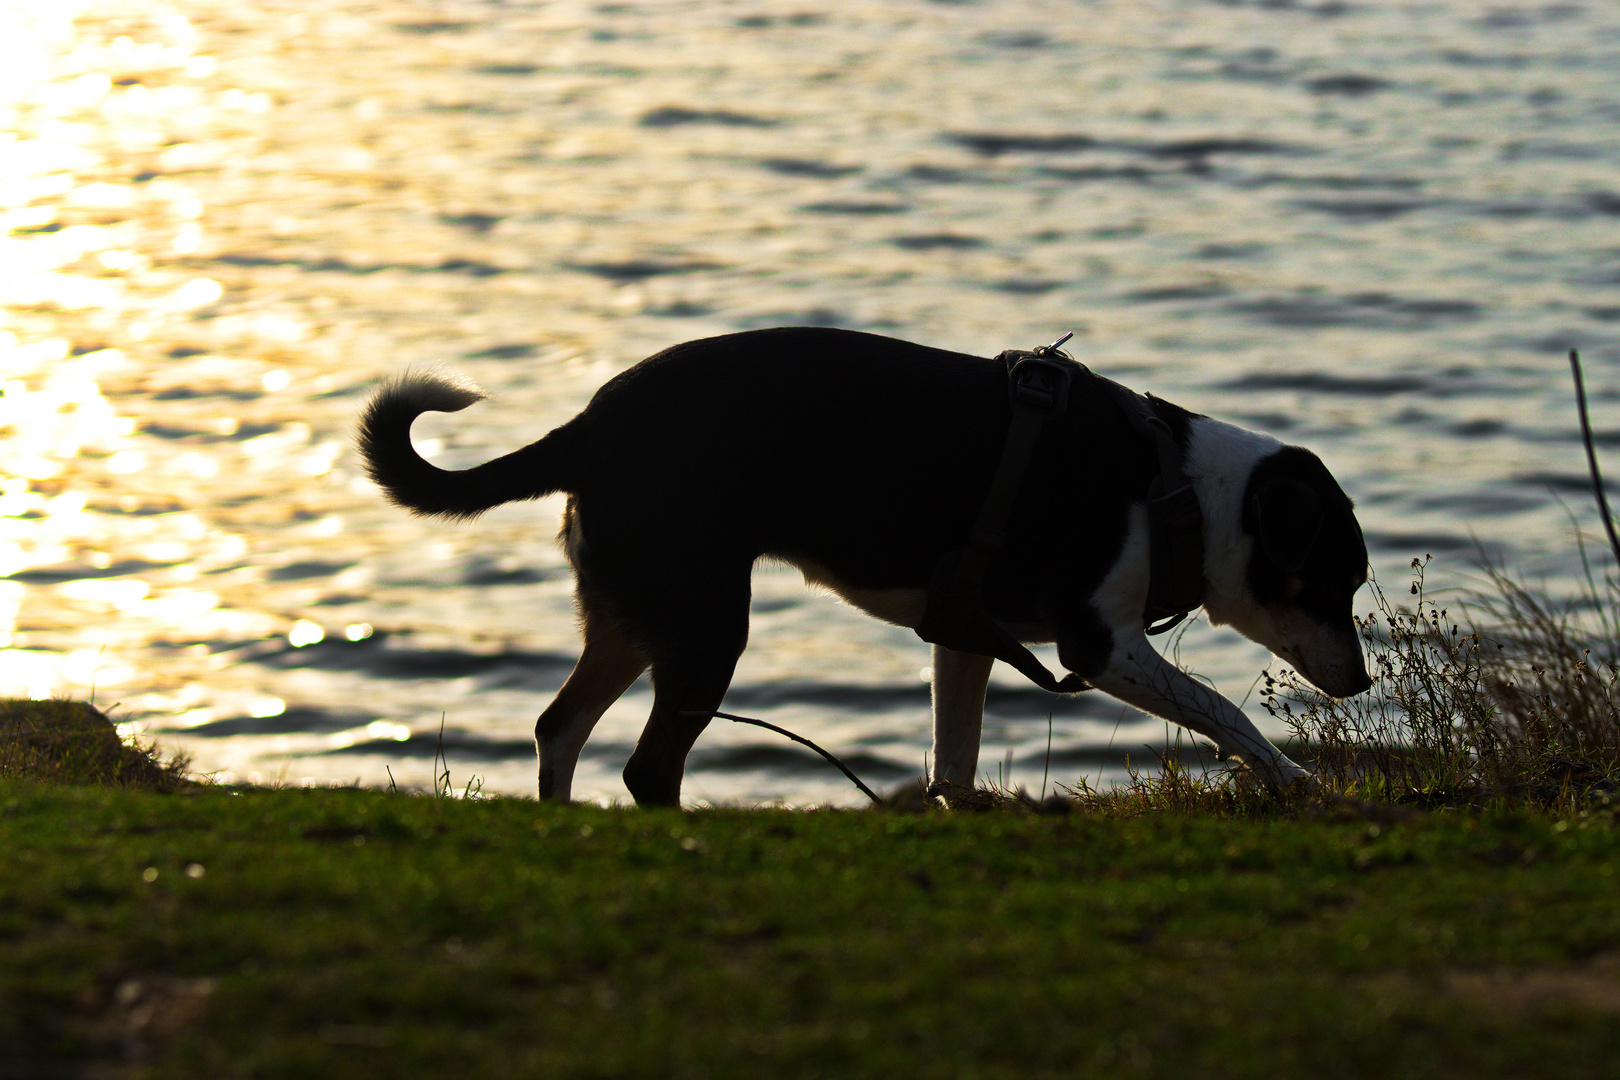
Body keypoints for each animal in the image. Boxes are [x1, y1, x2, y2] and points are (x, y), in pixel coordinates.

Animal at [354, 325, 1367, 806]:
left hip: (639, 613)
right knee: (646, 767)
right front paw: (1298, 784)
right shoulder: (1096, 643)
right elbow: (1226, 712)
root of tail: (591, 426)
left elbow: (953, 763)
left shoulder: (966, 633)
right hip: (708, 625)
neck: (1175, 490)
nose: (1360, 683)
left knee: (558, 728)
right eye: (1338, 581)